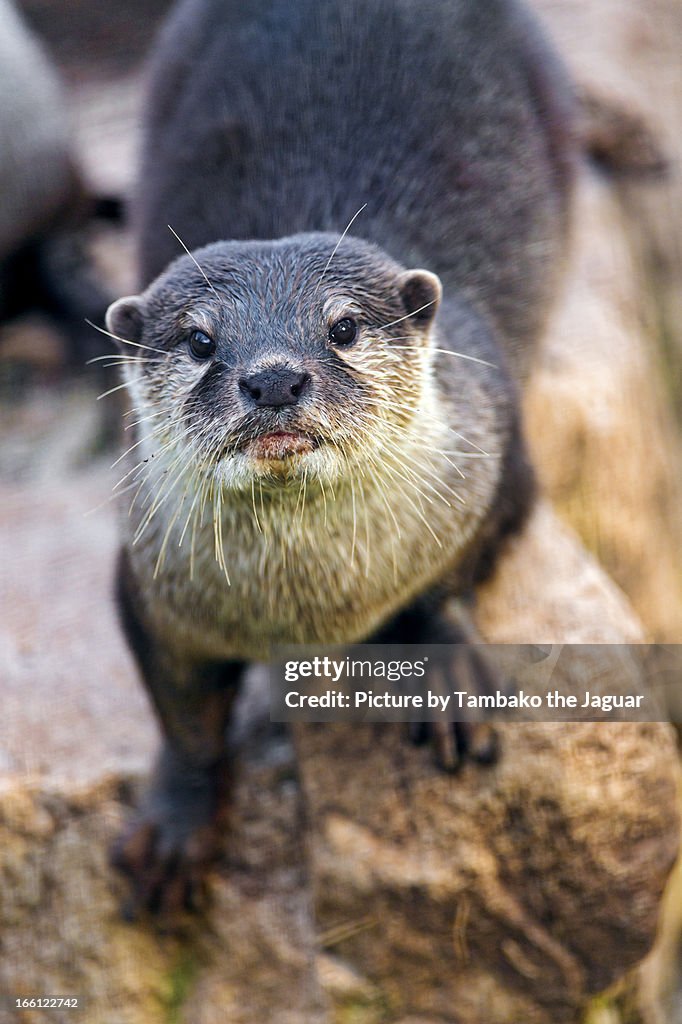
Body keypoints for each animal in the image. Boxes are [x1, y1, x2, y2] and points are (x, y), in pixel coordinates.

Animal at [106, 0, 573, 913]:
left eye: (344, 327)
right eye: (199, 340)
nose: (274, 379)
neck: (307, 610)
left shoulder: (504, 463)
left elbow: (457, 570)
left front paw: (445, 664)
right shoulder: (146, 580)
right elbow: (183, 716)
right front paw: (177, 822)